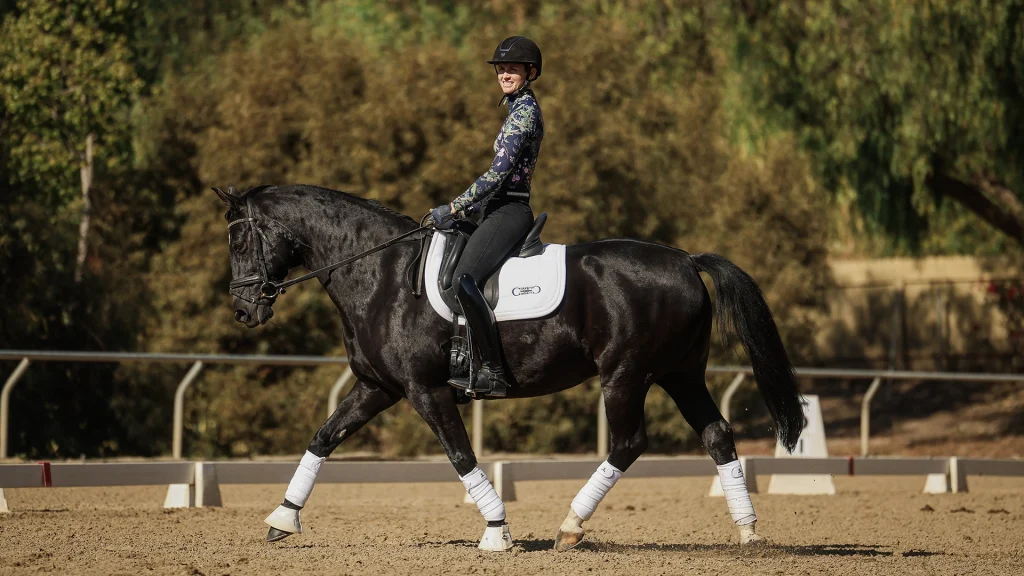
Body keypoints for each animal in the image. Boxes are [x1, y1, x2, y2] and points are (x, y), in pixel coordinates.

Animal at [213, 183, 805, 552]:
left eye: (239, 237)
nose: (243, 310)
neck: (380, 273)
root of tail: (685, 260)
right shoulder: (378, 386)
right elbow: (324, 437)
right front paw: (283, 518)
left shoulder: (426, 390)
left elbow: (460, 455)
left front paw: (497, 532)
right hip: (679, 374)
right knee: (717, 434)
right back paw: (748, 533)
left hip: (627, 375)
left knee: (629, 442)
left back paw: (570, 527)